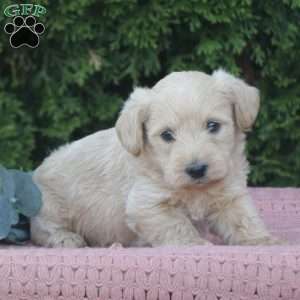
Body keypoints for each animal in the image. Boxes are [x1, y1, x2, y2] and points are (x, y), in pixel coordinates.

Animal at [31, 71, 282, 248]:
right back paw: (66, 238)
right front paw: (195, 244)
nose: (197, 169)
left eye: (213, 125)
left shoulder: (229, 195)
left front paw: (263, 240)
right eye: (167, 135)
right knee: (42, 228)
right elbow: (177, 225)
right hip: (51, 206)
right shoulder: (148, 204)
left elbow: (244, 219)